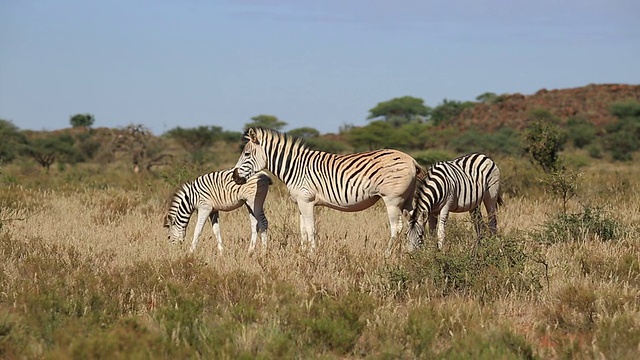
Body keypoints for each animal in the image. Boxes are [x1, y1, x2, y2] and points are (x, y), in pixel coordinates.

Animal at [231, 126, 424, 256]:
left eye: (246, 154)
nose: (234, 177)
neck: (295, 167)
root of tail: (411, 159)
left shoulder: (307, 201)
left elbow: (310, 229)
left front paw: (312, 255)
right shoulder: (300, 203)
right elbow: (303, 230)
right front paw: (303, 254)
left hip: (392, 199)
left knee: (396, 226)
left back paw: (387, 254)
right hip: (406, 199)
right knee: (413, 221)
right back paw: (411, 250)